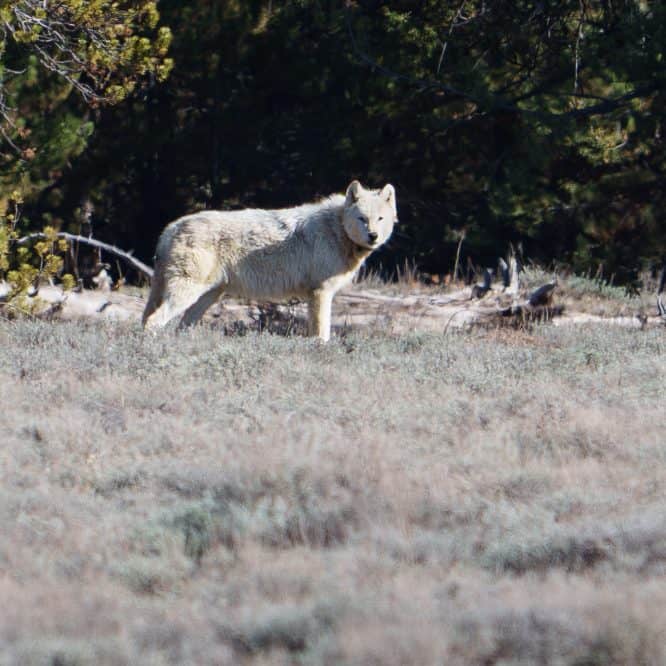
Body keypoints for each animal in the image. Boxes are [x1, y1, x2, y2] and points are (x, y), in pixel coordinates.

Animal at [142, 181, 397, 341]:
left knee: (177, 326)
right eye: (362, 218)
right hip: (189, 294)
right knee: (153, 321)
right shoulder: (320, 292)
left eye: (380, 219)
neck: (337, 230)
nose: (373, 236)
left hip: (207, 297)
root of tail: (171, 227)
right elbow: (321, 334)